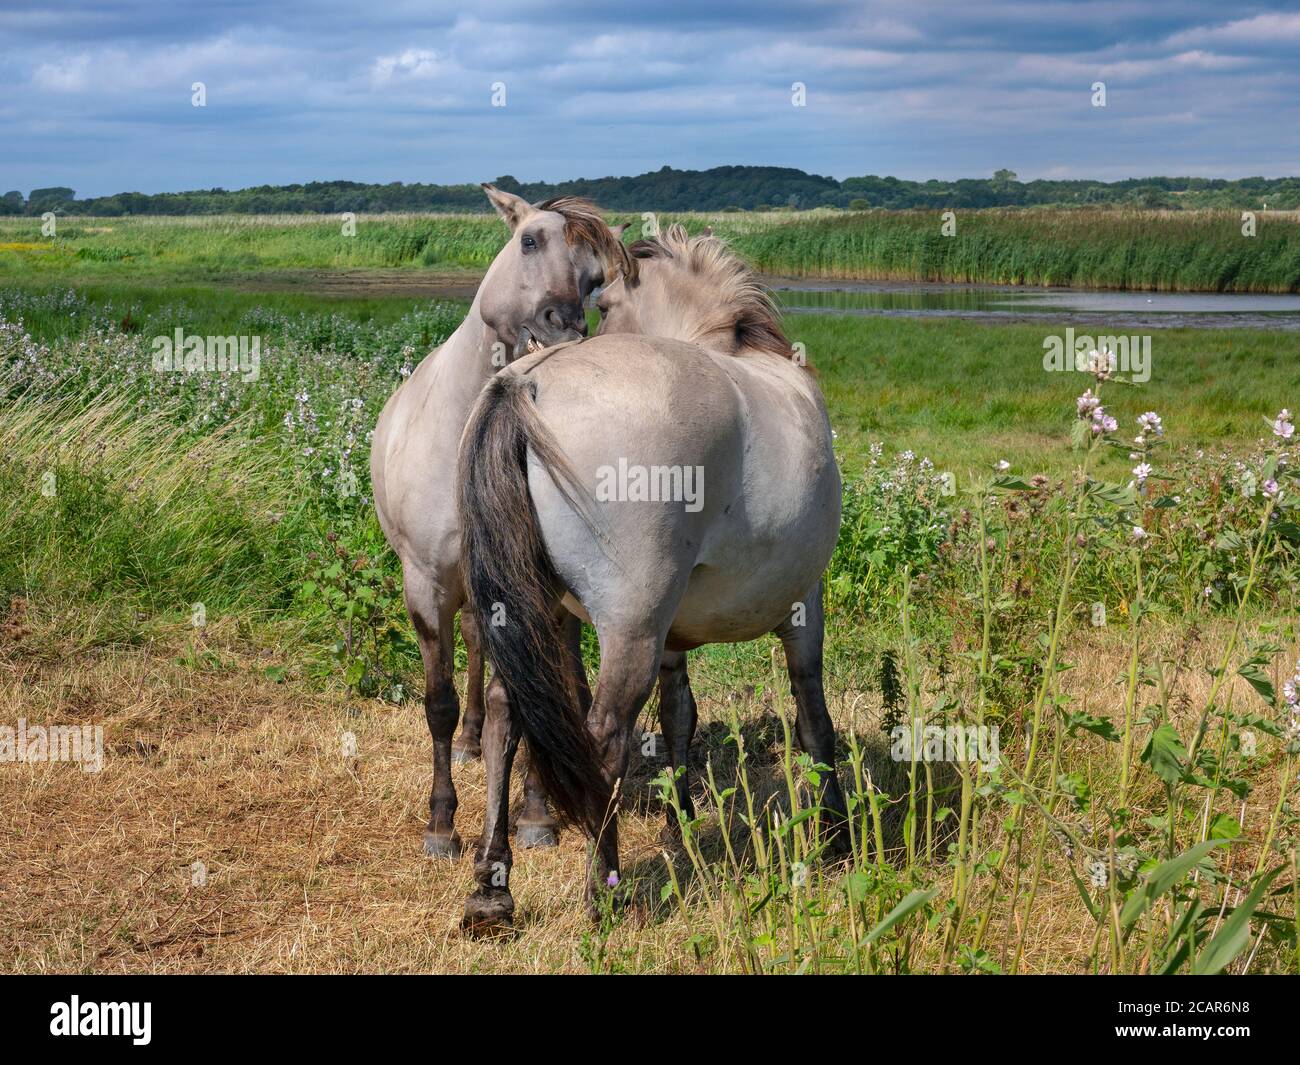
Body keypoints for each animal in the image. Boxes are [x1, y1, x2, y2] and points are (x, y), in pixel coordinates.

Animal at [370, 184, 628, 860]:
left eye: (596, 278)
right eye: (529, 240)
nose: (564, 327)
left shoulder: (532, 591)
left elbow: (531, 693)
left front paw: (535, 816)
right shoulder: (425, 585)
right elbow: (437, 701)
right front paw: (441, 824)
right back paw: (465, 742)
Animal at [456, 225, 846, 929]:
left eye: (603, 304)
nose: (563, 332)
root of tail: (526, 385)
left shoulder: (671, 635)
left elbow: (678, 718)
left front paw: (679, 825)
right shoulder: (806, 604)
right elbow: (814, 719)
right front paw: (834, 834)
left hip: (533, 613)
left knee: (504, 714)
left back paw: (492, 889)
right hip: (629, 628)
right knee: (605, 736)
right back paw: (603, 889)